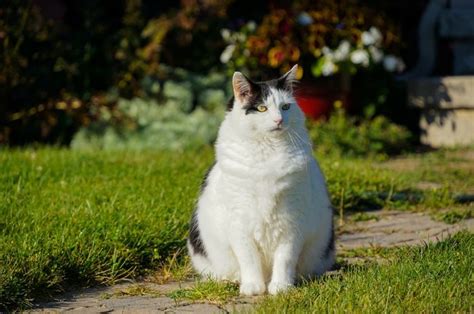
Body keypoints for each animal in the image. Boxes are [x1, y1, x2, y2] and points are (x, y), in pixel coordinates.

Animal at [187, 65, 336, 296]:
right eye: (262, 108)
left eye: (285, 107)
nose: (279, 120)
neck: (269, 151)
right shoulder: (239, 223)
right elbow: (248, 259)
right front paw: (252, 287)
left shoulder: (292, 223)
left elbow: (285, 259)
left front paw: (281, 288)